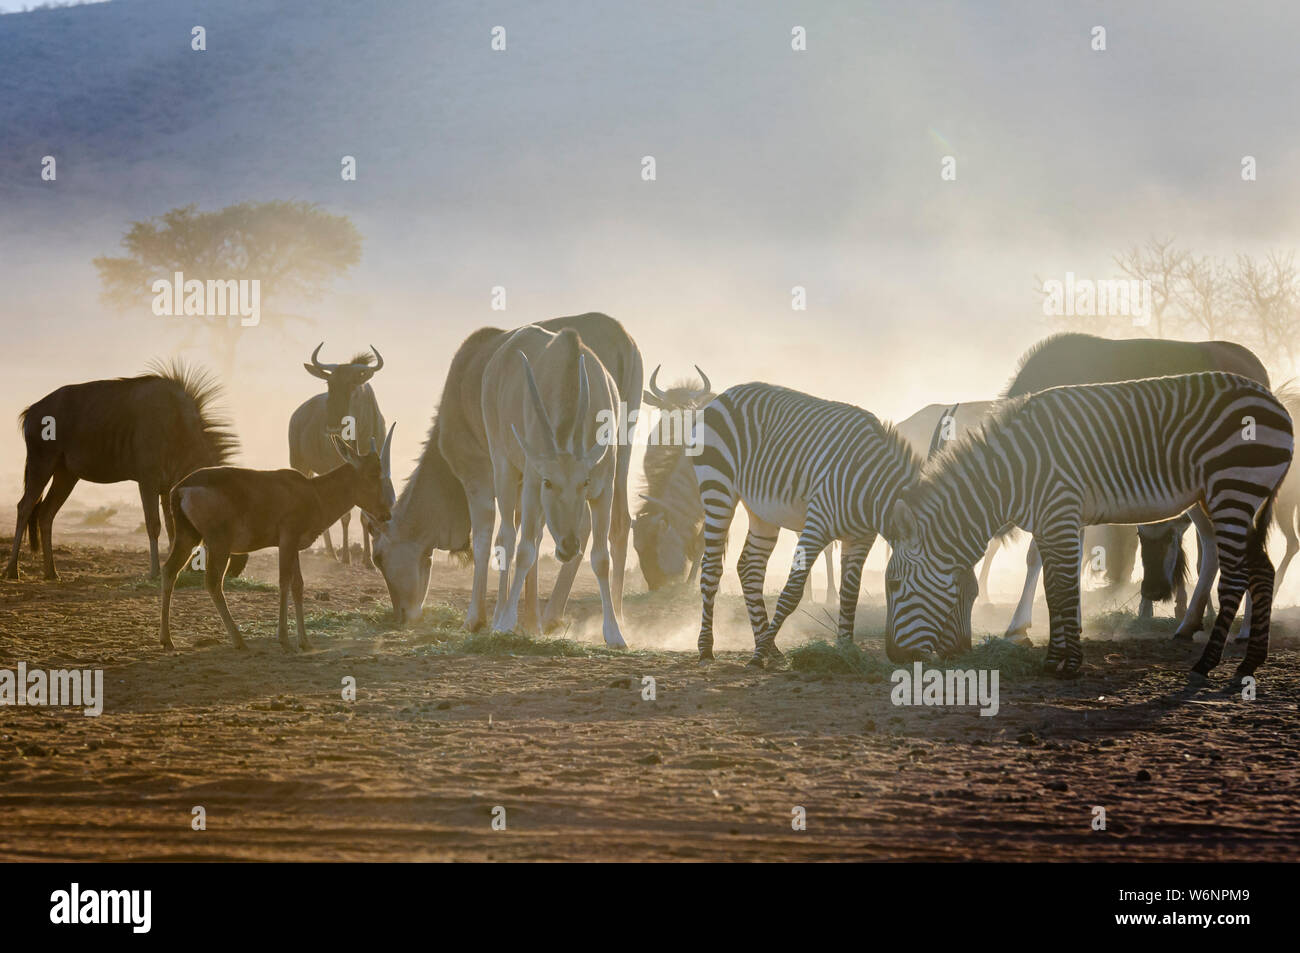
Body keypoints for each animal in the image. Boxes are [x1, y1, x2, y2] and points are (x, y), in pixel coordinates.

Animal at [159, 426, 390, 650]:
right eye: (373, 474)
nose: (386, 514)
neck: (313, 492)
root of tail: (180, 489)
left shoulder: (294, 545)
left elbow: (298, 585)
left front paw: (305, 642)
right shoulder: (287, 538)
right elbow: (284, 581)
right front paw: (284, 639)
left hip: (188, 536)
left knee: (170, 570)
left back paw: (167, 640)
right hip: (218, 543)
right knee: (213, 582)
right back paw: (239, 641)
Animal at [691, 382, 977, 665]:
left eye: (974, 593)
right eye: (952, 595)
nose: (961, 651)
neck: (871, 487)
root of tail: (727, 393)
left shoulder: (861, 539)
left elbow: (850, 594)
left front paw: (845, 650)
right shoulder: (816, 527)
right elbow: (792, 593)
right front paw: (757, 657)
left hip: (762, 511)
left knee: (749, 567)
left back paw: (769, 646)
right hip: (718, 488)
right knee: (712, 567)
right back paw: (707, 648)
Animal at [883, 369, 1289, 681]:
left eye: (894, 585)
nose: (894, 657)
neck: (1015, 472)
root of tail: (1276, 402)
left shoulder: (1061, 513)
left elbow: (1062, 589)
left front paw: (1069, 664)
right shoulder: (1053, 522)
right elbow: (1054, 588)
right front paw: (1053, 660)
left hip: (1233, 490)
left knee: (1237, 575)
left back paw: (1207, 663)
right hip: (1222, 499)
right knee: (1261, 570)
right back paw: (1250, 662)